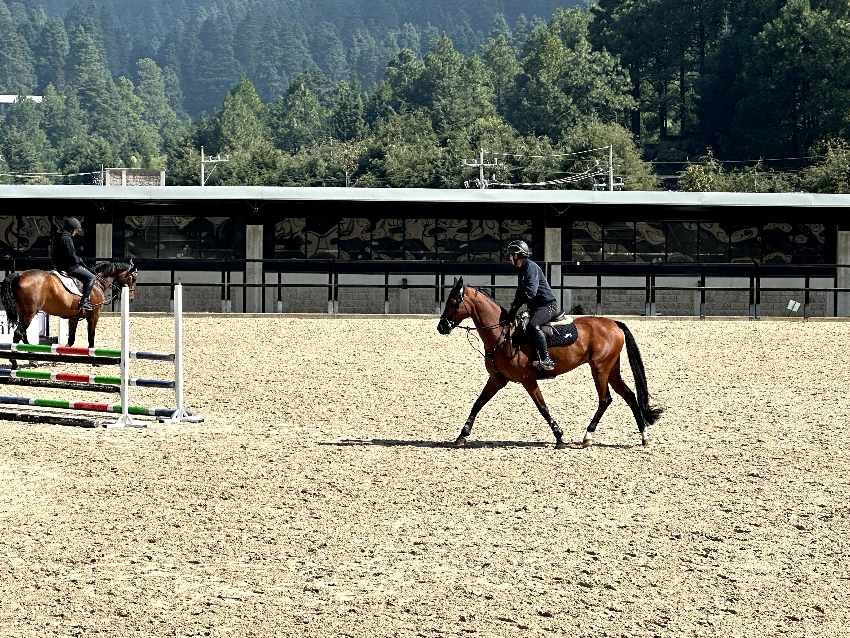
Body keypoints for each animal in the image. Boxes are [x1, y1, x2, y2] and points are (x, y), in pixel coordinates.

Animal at [0, 262, 136, 364]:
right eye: (133, 278)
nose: (131, 298)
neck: (97, 283)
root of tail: (20, 275)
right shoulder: (94, 316)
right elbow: (91, 336)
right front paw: (93, 359)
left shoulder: (74, 317)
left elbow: (71, 339)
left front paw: (62, 354)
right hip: (29, 314)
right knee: (18, 333)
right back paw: (15, 362)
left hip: (24, 313)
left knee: (23, 334)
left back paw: (32, 359)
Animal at [438, 278, 664, 450]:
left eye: (453, 301)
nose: (441, 327)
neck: (503, 335)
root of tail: (613, 323)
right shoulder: (497, 379)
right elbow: (478, 403)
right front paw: (462, 435)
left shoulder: (528, 380)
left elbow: (543, 408)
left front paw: (559, 436)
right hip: (611, 370)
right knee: (629, 396)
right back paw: (644, 436)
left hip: (599, 369)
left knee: (605, 399)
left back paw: (588, 436)